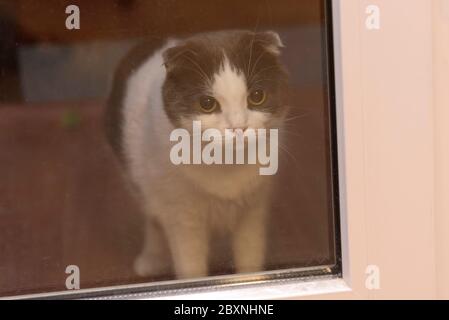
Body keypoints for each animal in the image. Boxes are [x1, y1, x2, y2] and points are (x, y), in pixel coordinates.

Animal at [105, 30, 288, 280]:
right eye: (207, 104)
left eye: (257, 96)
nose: (238, 127)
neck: (227, 165)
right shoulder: (183, 218)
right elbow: (191, 267)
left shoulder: (253, 212)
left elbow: (249, 258)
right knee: (153, 221)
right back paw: (151, 259)